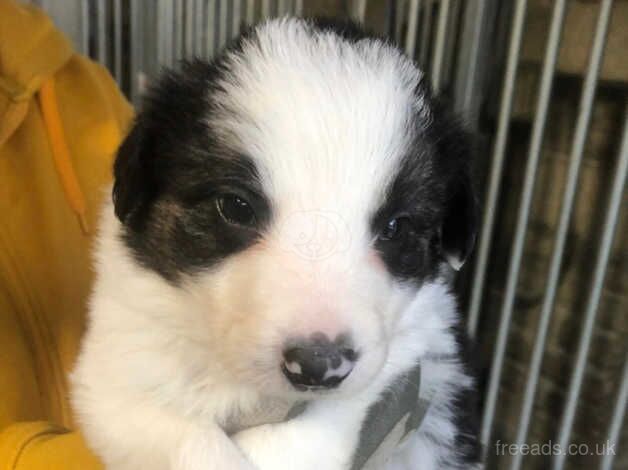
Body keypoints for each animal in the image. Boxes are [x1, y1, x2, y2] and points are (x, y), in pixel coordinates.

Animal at [72, 16, 480, 468]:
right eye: (236, 206)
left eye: (395, 227)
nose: (319, 365)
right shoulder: (113, 381)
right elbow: (190, 438)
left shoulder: (399, 366)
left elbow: (306, 432)